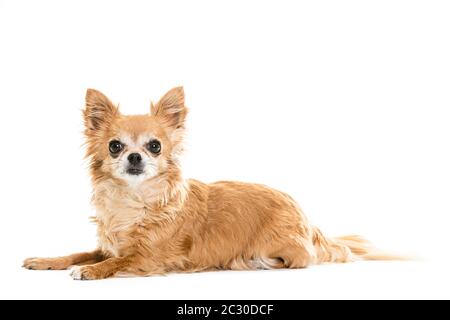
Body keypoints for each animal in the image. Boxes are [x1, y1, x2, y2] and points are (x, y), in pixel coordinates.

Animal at [24, 86, 388, 278]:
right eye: (115, 146)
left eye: (154, 146)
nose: (135, 157)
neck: (134, 199)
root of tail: (310, 222)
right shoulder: (105, 245)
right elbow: (78, 253)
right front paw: (45, 261)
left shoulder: (149, 258)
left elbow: (117, 261)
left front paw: (91, 271)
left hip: (283, 246)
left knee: (305, 259)